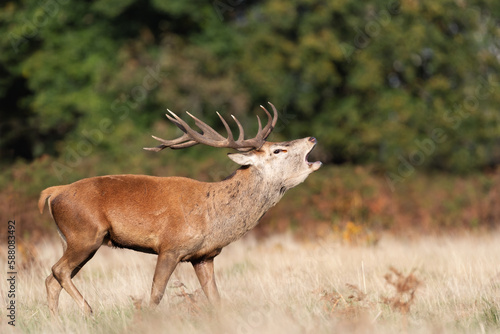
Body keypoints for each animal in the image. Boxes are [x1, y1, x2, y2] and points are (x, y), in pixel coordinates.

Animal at [38, 102, 320, 316]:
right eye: (278, 150)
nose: (312, 137)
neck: (213, 216)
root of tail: (54, 192)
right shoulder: (170, 246)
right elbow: (156, 294)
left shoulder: (204, 256)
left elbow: (215, 298)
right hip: (85, 234)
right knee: (58, 271)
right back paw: (88, 311)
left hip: (75, 240)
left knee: (53, 279)